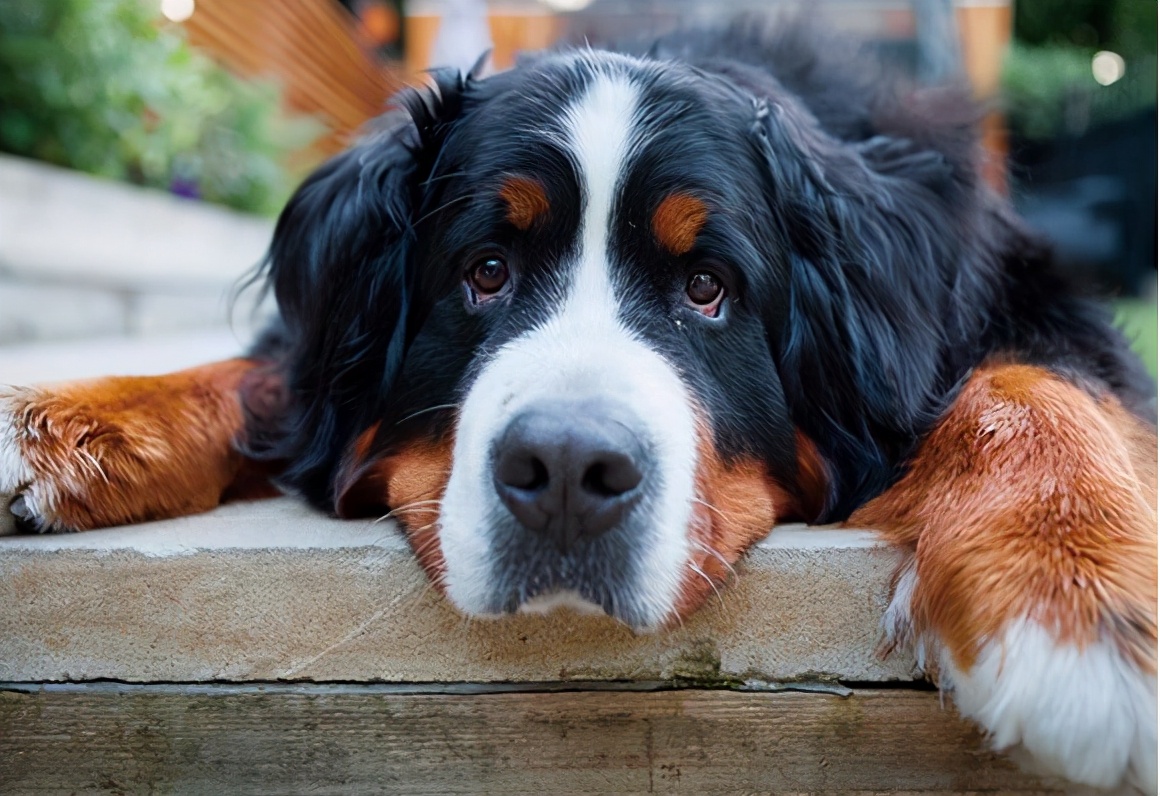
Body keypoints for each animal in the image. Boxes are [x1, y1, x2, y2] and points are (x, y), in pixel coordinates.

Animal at [2, 17, 1160, 793]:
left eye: (708, 288)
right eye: (484, 271)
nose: (565, 470)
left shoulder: (1026, 302)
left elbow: (1032, 384)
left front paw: (1067, 602)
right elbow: (260, 377)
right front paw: (63, 422)